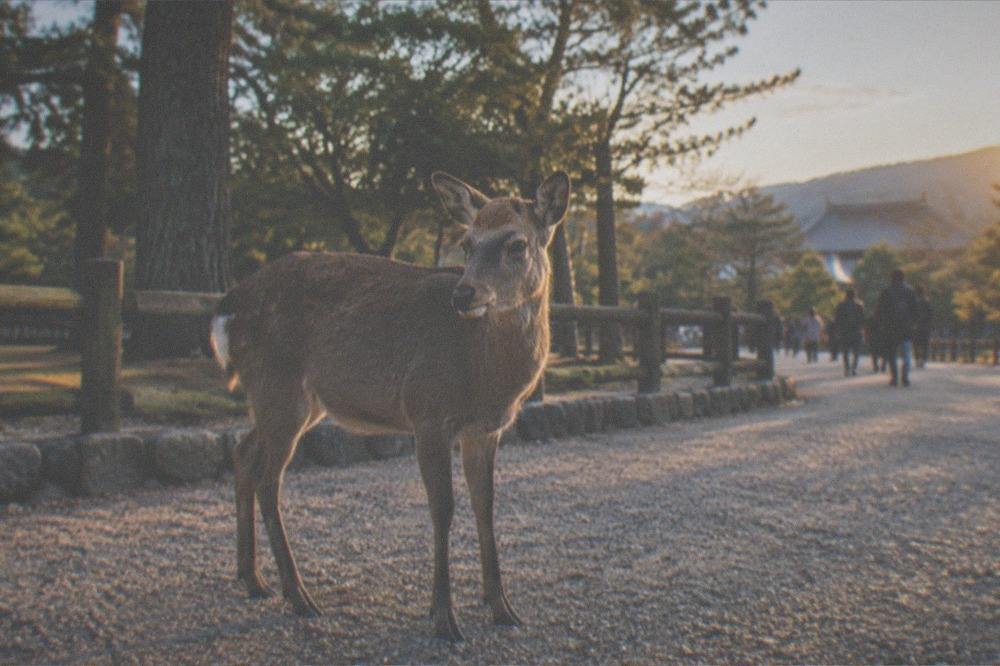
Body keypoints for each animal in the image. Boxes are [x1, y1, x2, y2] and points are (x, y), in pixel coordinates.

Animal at [209, 171, 570, 641]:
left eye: (517, 244)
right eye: (467, 243)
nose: (463, 294)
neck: (484, 375)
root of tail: (227, 306)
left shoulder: (484, 429)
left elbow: (485, 505)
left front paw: (503, 608)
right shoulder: (428, 412)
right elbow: (443, 509)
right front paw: (444, 619)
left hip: (291, 401)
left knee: (243, 452)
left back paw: (253, 579)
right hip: (278, 387)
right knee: (269, 480)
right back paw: (300, 596)